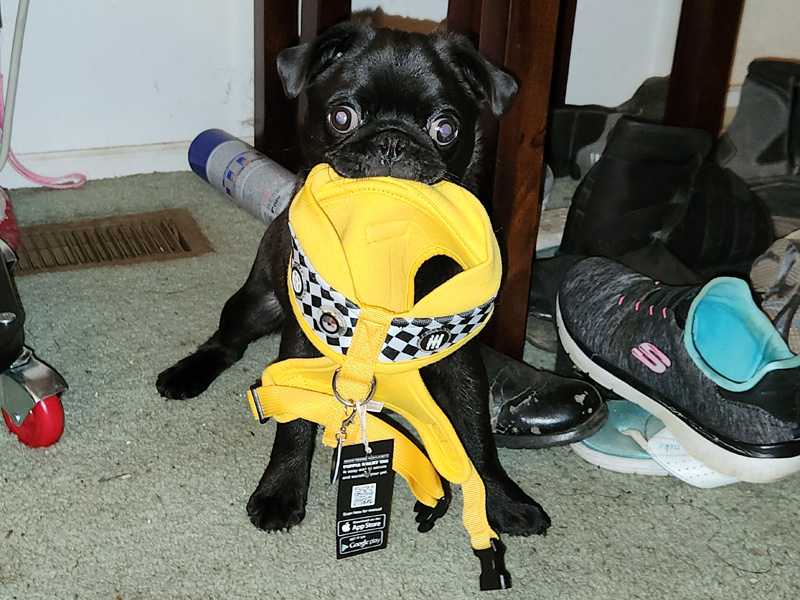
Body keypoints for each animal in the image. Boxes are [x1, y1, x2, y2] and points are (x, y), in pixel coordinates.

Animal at [157, 21, 550, 538]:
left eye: (445, 129)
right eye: (342, 117)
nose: (392, 142)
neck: (384, 243)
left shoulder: (458, 357)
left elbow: (476, 432)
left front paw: (503, 500)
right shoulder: (305, 340)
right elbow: (294, 426)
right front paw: (280, 492)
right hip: (254, 303)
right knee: (226, 344)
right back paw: (188, 374)